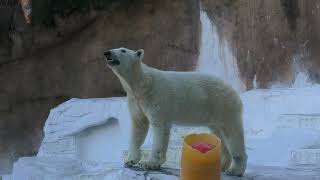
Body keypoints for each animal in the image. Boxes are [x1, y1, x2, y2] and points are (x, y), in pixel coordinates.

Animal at [104, 47, 246, 176]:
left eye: (123, 50)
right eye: (114, 48)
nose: (107, 53)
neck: (142, 83)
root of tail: (233, 90)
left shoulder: (156, 97)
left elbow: (159, 128)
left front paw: (149, 163)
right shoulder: (136, 100)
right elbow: (138, 126)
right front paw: (130, 161)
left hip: (224, 105)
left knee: (232, 133)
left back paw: (235, 170)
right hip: (214, 113)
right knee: (219, 134)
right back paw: (222, 165)